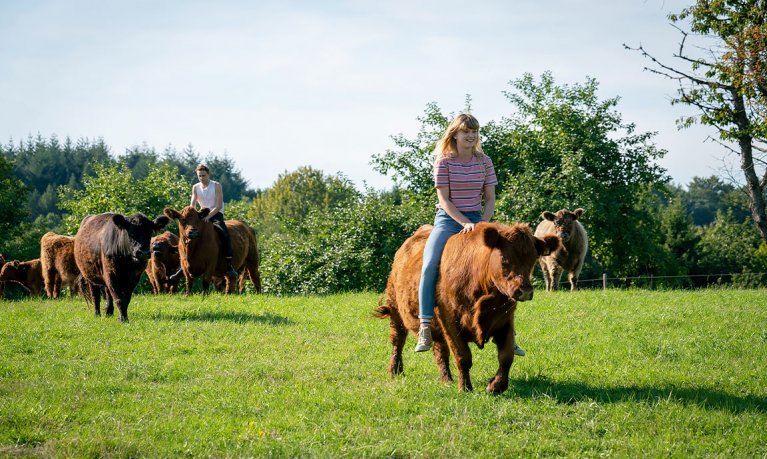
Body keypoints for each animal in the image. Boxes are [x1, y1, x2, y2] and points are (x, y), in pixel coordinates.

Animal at [376, 223, 560, 396]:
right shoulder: (450, 321)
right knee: (398, 341)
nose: (525, 291)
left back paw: (447, 380)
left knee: (440, 351)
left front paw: (495, 386)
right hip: (395, 310)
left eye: (533, 259)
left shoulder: (505, 321)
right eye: (504, 258)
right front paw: (465, 388)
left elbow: (506, 356)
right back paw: (395, 371)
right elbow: (463, 356)